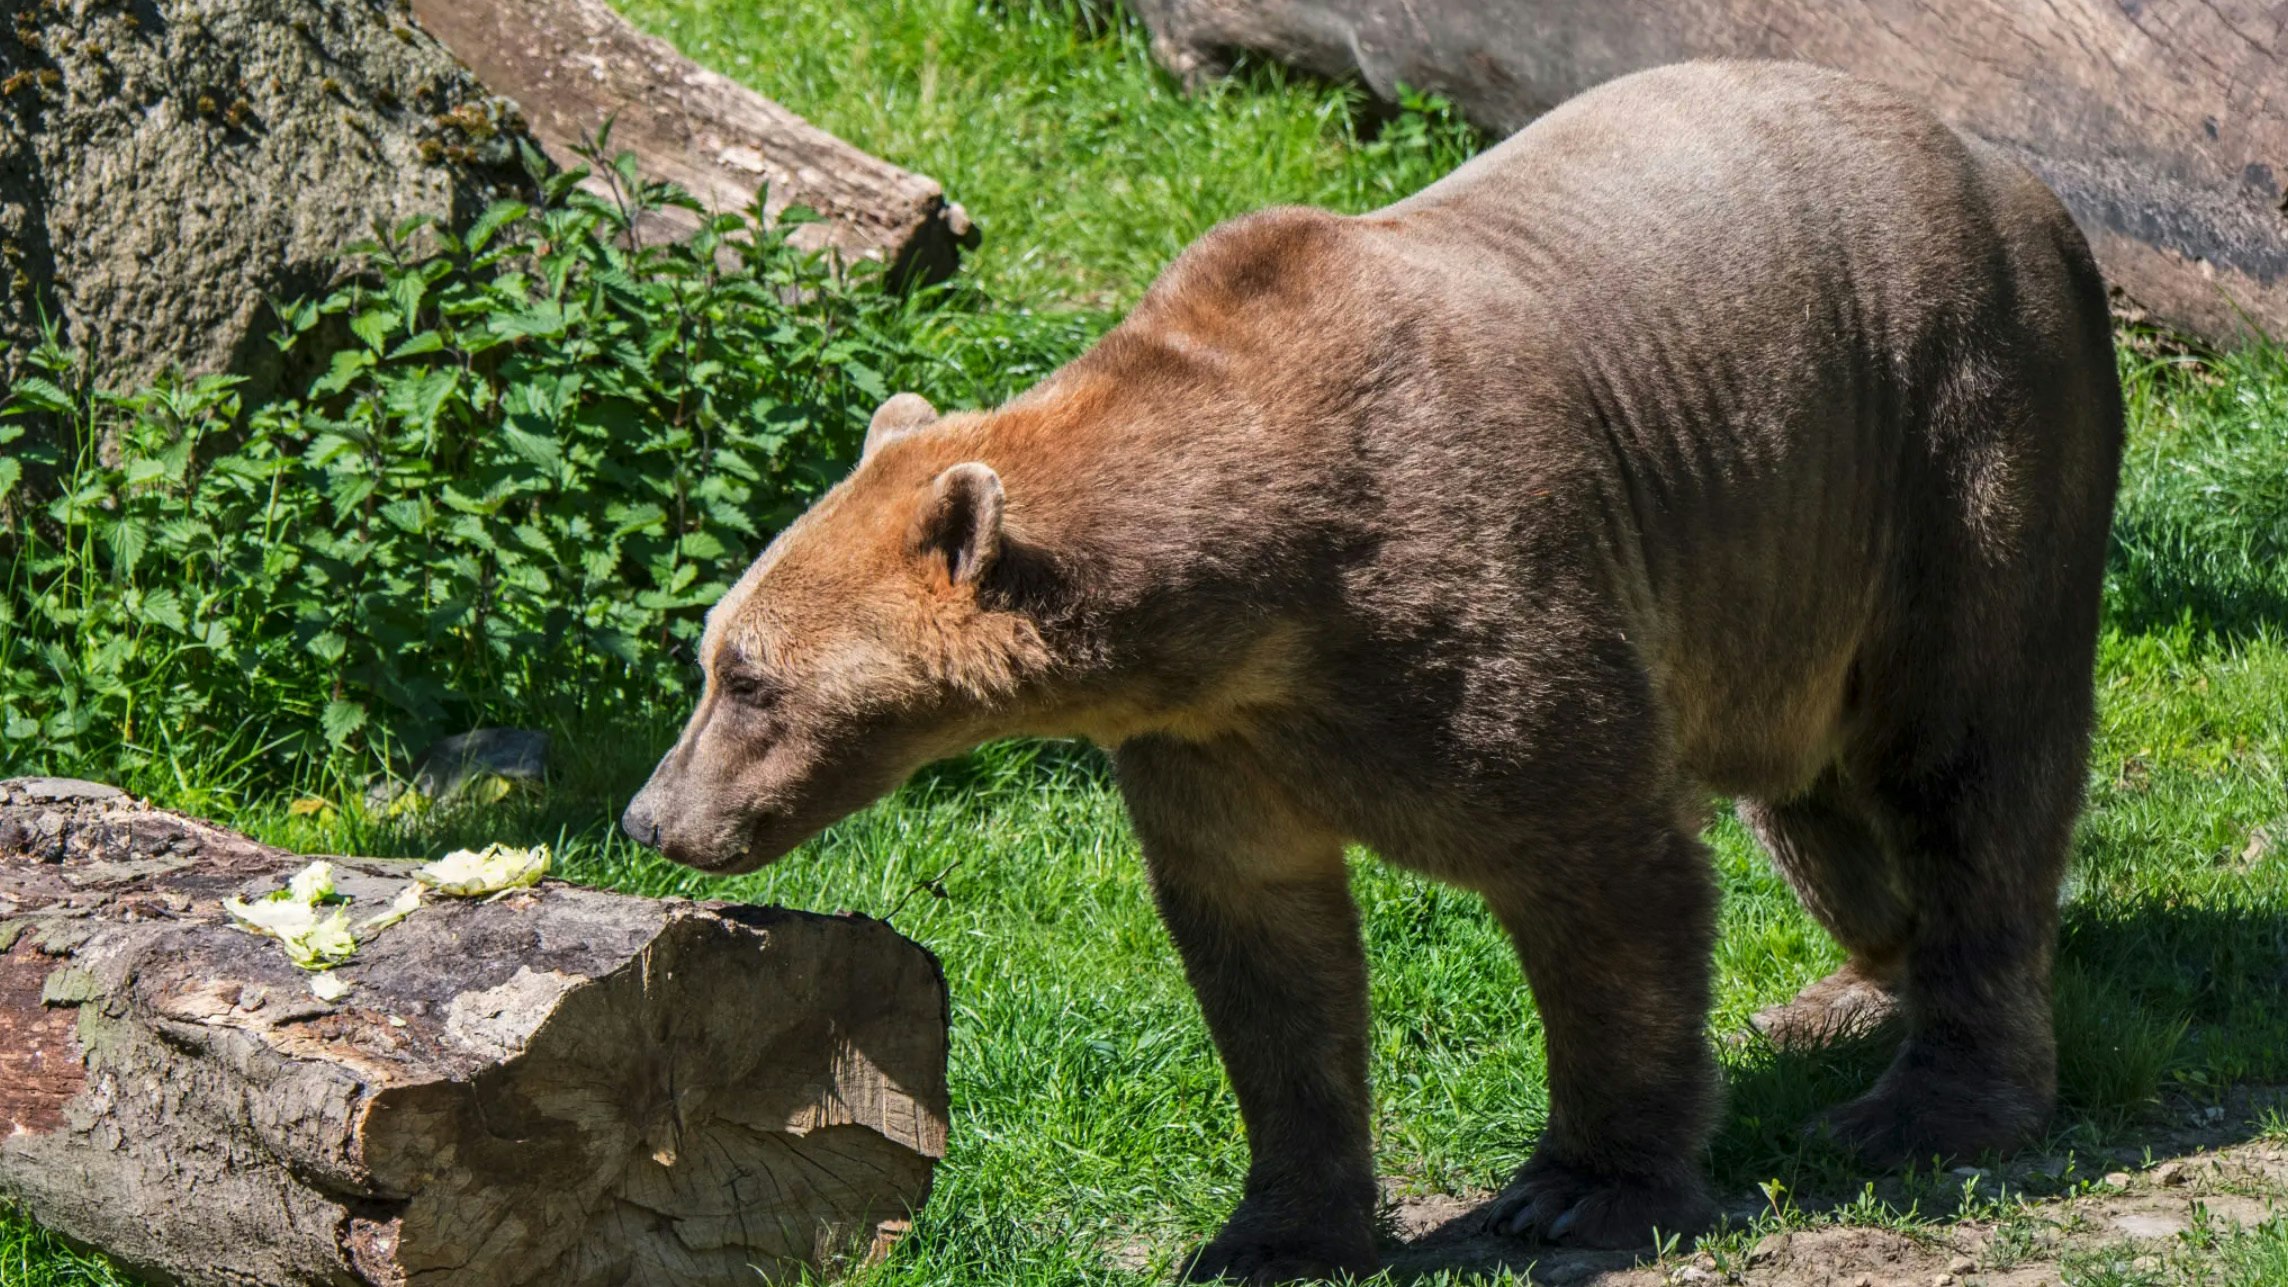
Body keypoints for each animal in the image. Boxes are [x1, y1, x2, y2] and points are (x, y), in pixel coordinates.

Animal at [626, 57, 2123, 1273]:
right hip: (1792, 584)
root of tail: (2018, 180)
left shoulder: (1483, 602)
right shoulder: (1214, 739)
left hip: (1948, 437)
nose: (651, 816)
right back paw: (1838, 995)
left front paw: (1577, 1188)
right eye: (709, 658)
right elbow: (1265, 953)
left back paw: (1928, 1100)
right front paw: (1271, 1228)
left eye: (748, 678)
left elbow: (1606, 868)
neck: (1256, 596)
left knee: (1967, 770)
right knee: (1820, 810)